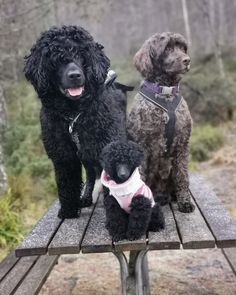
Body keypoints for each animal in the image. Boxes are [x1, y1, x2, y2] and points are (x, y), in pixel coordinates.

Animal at [24, 25, 133, 219]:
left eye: (82, 55)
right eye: (56, 59)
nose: (75, 75)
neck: (74, 115)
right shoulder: (64, 157)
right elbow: (67, 185)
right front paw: (68, 211)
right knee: (90, 174)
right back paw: (86, 198)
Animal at [127, 31, 195, 213]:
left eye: (182, 48)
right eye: (167, 48)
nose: (187, 60)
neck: (166, 93)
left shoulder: (182, 145)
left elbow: (182, 176)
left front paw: (185, 202)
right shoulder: (142, 145)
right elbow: (141, 177)